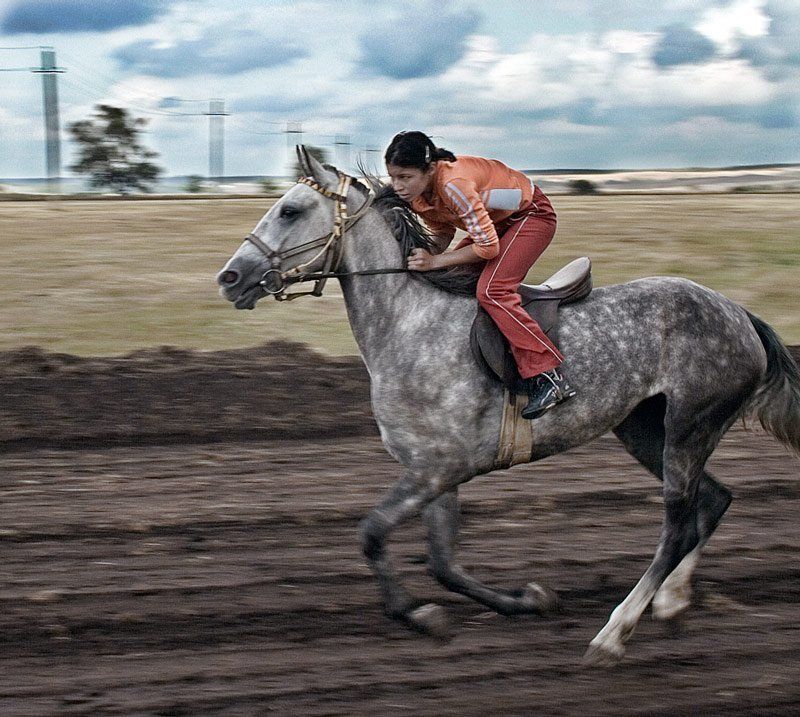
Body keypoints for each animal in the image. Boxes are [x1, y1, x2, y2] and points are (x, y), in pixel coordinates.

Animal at [217, 147, 800, 664]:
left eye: (290, 210)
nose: (229, 278)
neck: (409, 325)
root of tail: (740, 314)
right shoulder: (435, 472)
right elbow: (443, 564)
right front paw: (529, 601)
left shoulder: (437, 469)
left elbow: (373, 534)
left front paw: (420, 615)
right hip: (645, 429)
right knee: (713, 502)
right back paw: (672, 604)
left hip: (689, 426)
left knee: (678, 526)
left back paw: (613, 635)